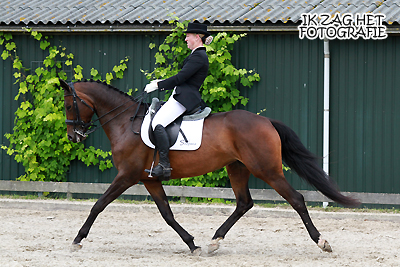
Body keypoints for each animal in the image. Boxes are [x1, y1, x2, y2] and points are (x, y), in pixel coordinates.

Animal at [61, 79, 360, 255]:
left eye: (68, 105)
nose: (73, 136)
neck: (126, 123)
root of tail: (266, 121)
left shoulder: (127, 176)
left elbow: (98, 205)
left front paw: (77, 238)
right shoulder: (150, 179)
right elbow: (167, 214)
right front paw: (192, 243)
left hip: (267, 170)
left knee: (296, 199)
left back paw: (321, 241)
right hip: (238, 168)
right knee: (244, 203)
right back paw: (215, 241)